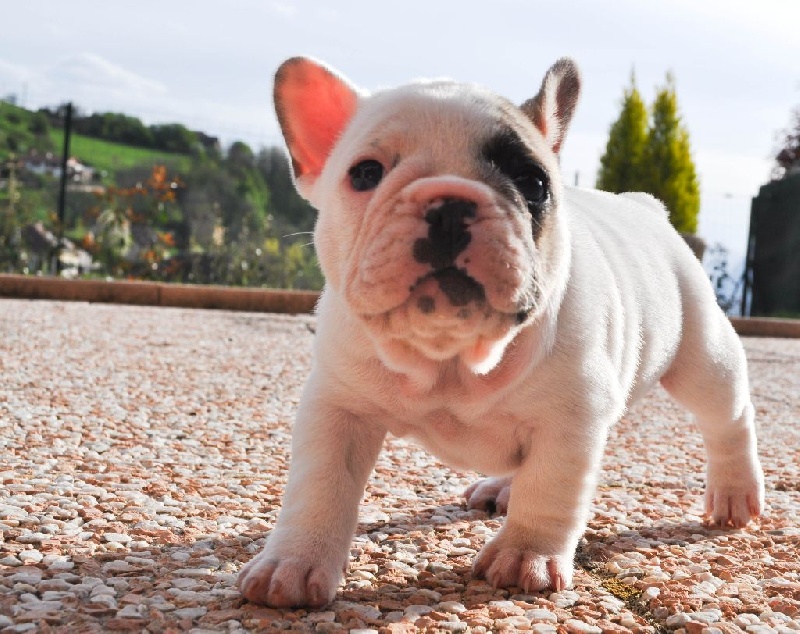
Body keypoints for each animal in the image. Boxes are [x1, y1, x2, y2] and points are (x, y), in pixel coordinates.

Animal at [237, 56, 765, 608]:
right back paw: (502, 487)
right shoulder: (338, 407)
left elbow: (551, 486)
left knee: (728, 416)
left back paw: (734, 493)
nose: (449, 204)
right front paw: (294, 564)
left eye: (533, 183)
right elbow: (320, 486)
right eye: (364, 174)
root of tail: (643, 205)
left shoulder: (570, 420)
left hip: (701, 353)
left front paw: (525, 554)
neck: (451, 358)